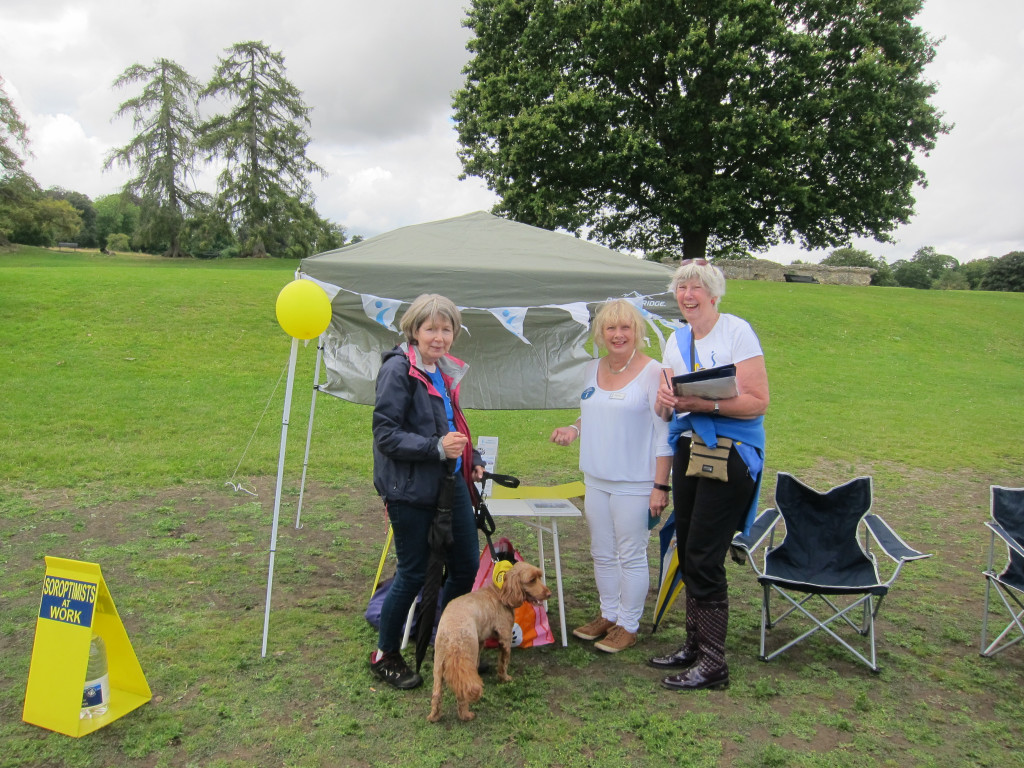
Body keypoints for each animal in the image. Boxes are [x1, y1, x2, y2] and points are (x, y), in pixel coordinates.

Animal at [427, 560, 551, 722]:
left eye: (539, 576)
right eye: (531, 580)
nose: (549, 594)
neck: (500, 592)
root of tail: (452, 635)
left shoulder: (480, 641)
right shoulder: (505, 638)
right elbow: (503, 663)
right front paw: (505, 678)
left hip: (439, 665)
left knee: (436, 694)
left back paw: (434, 716)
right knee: (462, 693)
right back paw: (466, 715)